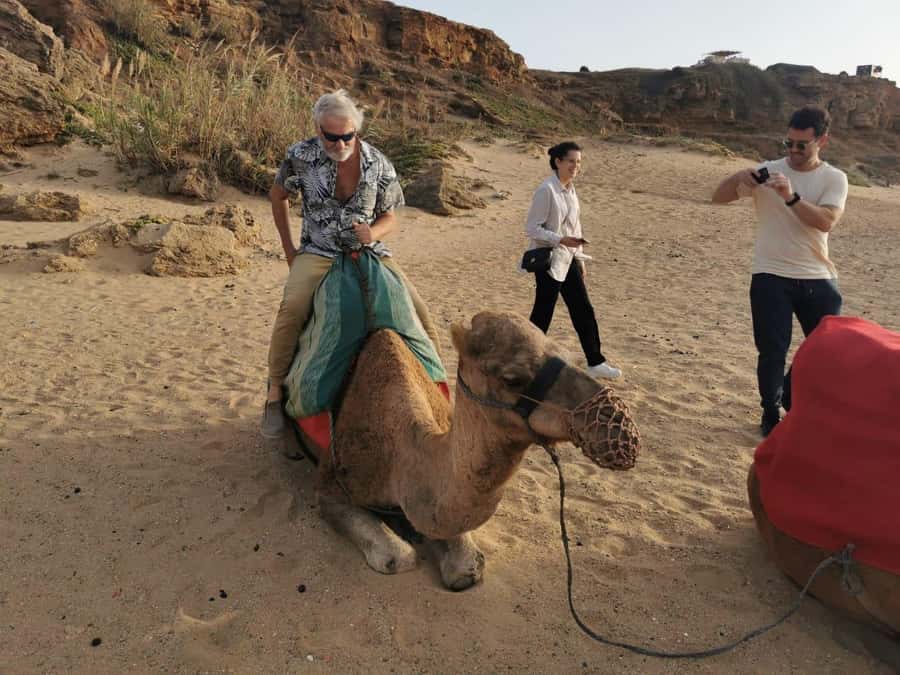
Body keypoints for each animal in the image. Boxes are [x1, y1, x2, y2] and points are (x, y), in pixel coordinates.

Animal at [288, 310, 640, 590]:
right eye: (512, 378)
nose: (620, 428)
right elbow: (397, 557)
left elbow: (466, 568)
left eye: (567, 353)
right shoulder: (330, 487)